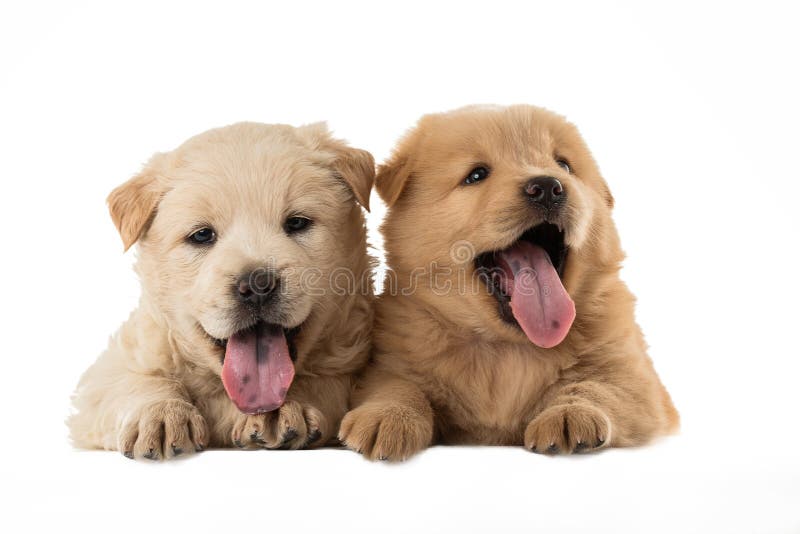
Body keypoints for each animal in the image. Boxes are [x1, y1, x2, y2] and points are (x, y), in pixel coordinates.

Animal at [69, 121, 376, 460]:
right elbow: (134, 381)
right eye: (202, 235)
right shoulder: (112, 367)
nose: (256, 286)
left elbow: (328, 384)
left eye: (297, 223)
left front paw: (280, 411)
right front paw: (161, 414)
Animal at [340, 104, 680, 460]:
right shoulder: (391, 361)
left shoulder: (636, 378)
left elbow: (597, 386)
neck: (506, 348)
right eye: (476, 175)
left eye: (564, 164)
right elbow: (397, 385)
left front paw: (570, 414)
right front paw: (387, 417)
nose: (547, 186)